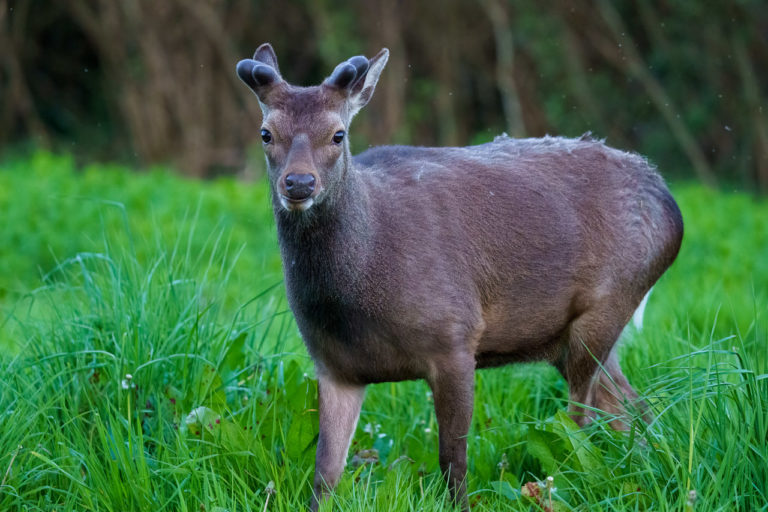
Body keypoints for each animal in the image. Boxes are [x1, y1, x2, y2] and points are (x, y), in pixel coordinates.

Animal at [236, 43, 683, 511]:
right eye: (266, 133)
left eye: (338, 134)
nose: (299, 183)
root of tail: (669, 201)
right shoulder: (334, 365)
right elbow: (325, 473)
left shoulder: (454, 337)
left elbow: (453, 460)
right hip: (570, 337)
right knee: (633, 409)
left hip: (608, 305)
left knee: (580, 422)